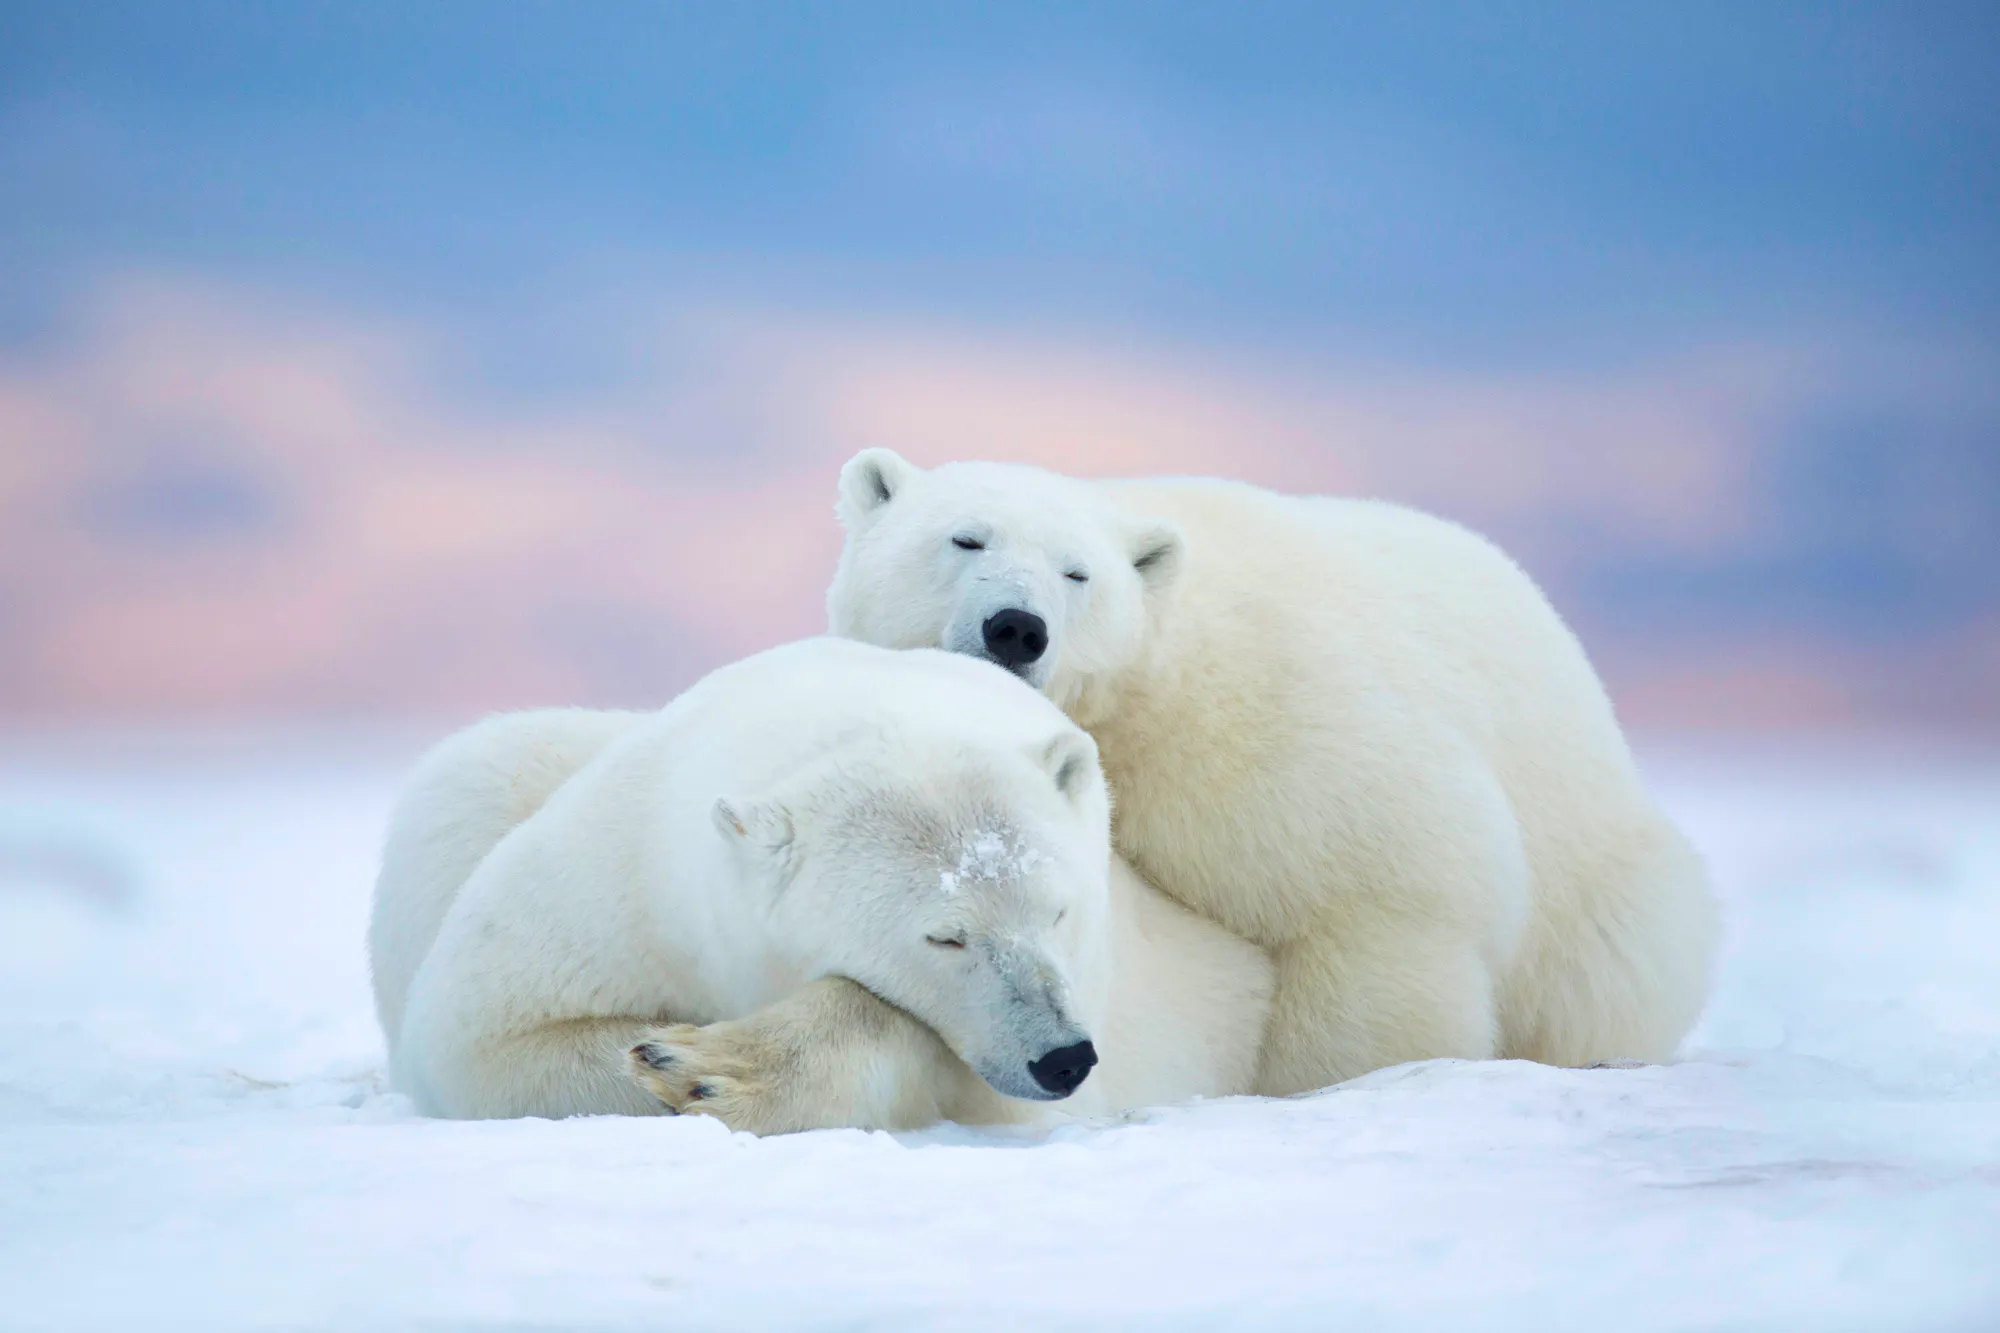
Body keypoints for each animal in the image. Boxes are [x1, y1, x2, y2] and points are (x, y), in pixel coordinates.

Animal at [369, 636, 1272, 1130]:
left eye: (1059, 910)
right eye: (946, 935)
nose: (1063, 1056)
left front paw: (712, 1066)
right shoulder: (625, 876)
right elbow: (482, 1034)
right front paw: (669, 1054)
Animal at [826, 451, 1719, 1096]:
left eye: (1078, 573)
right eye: (965, 538)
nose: (1016, 626)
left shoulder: (1268, 729)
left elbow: (1380, 894)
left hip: (1597, 884)